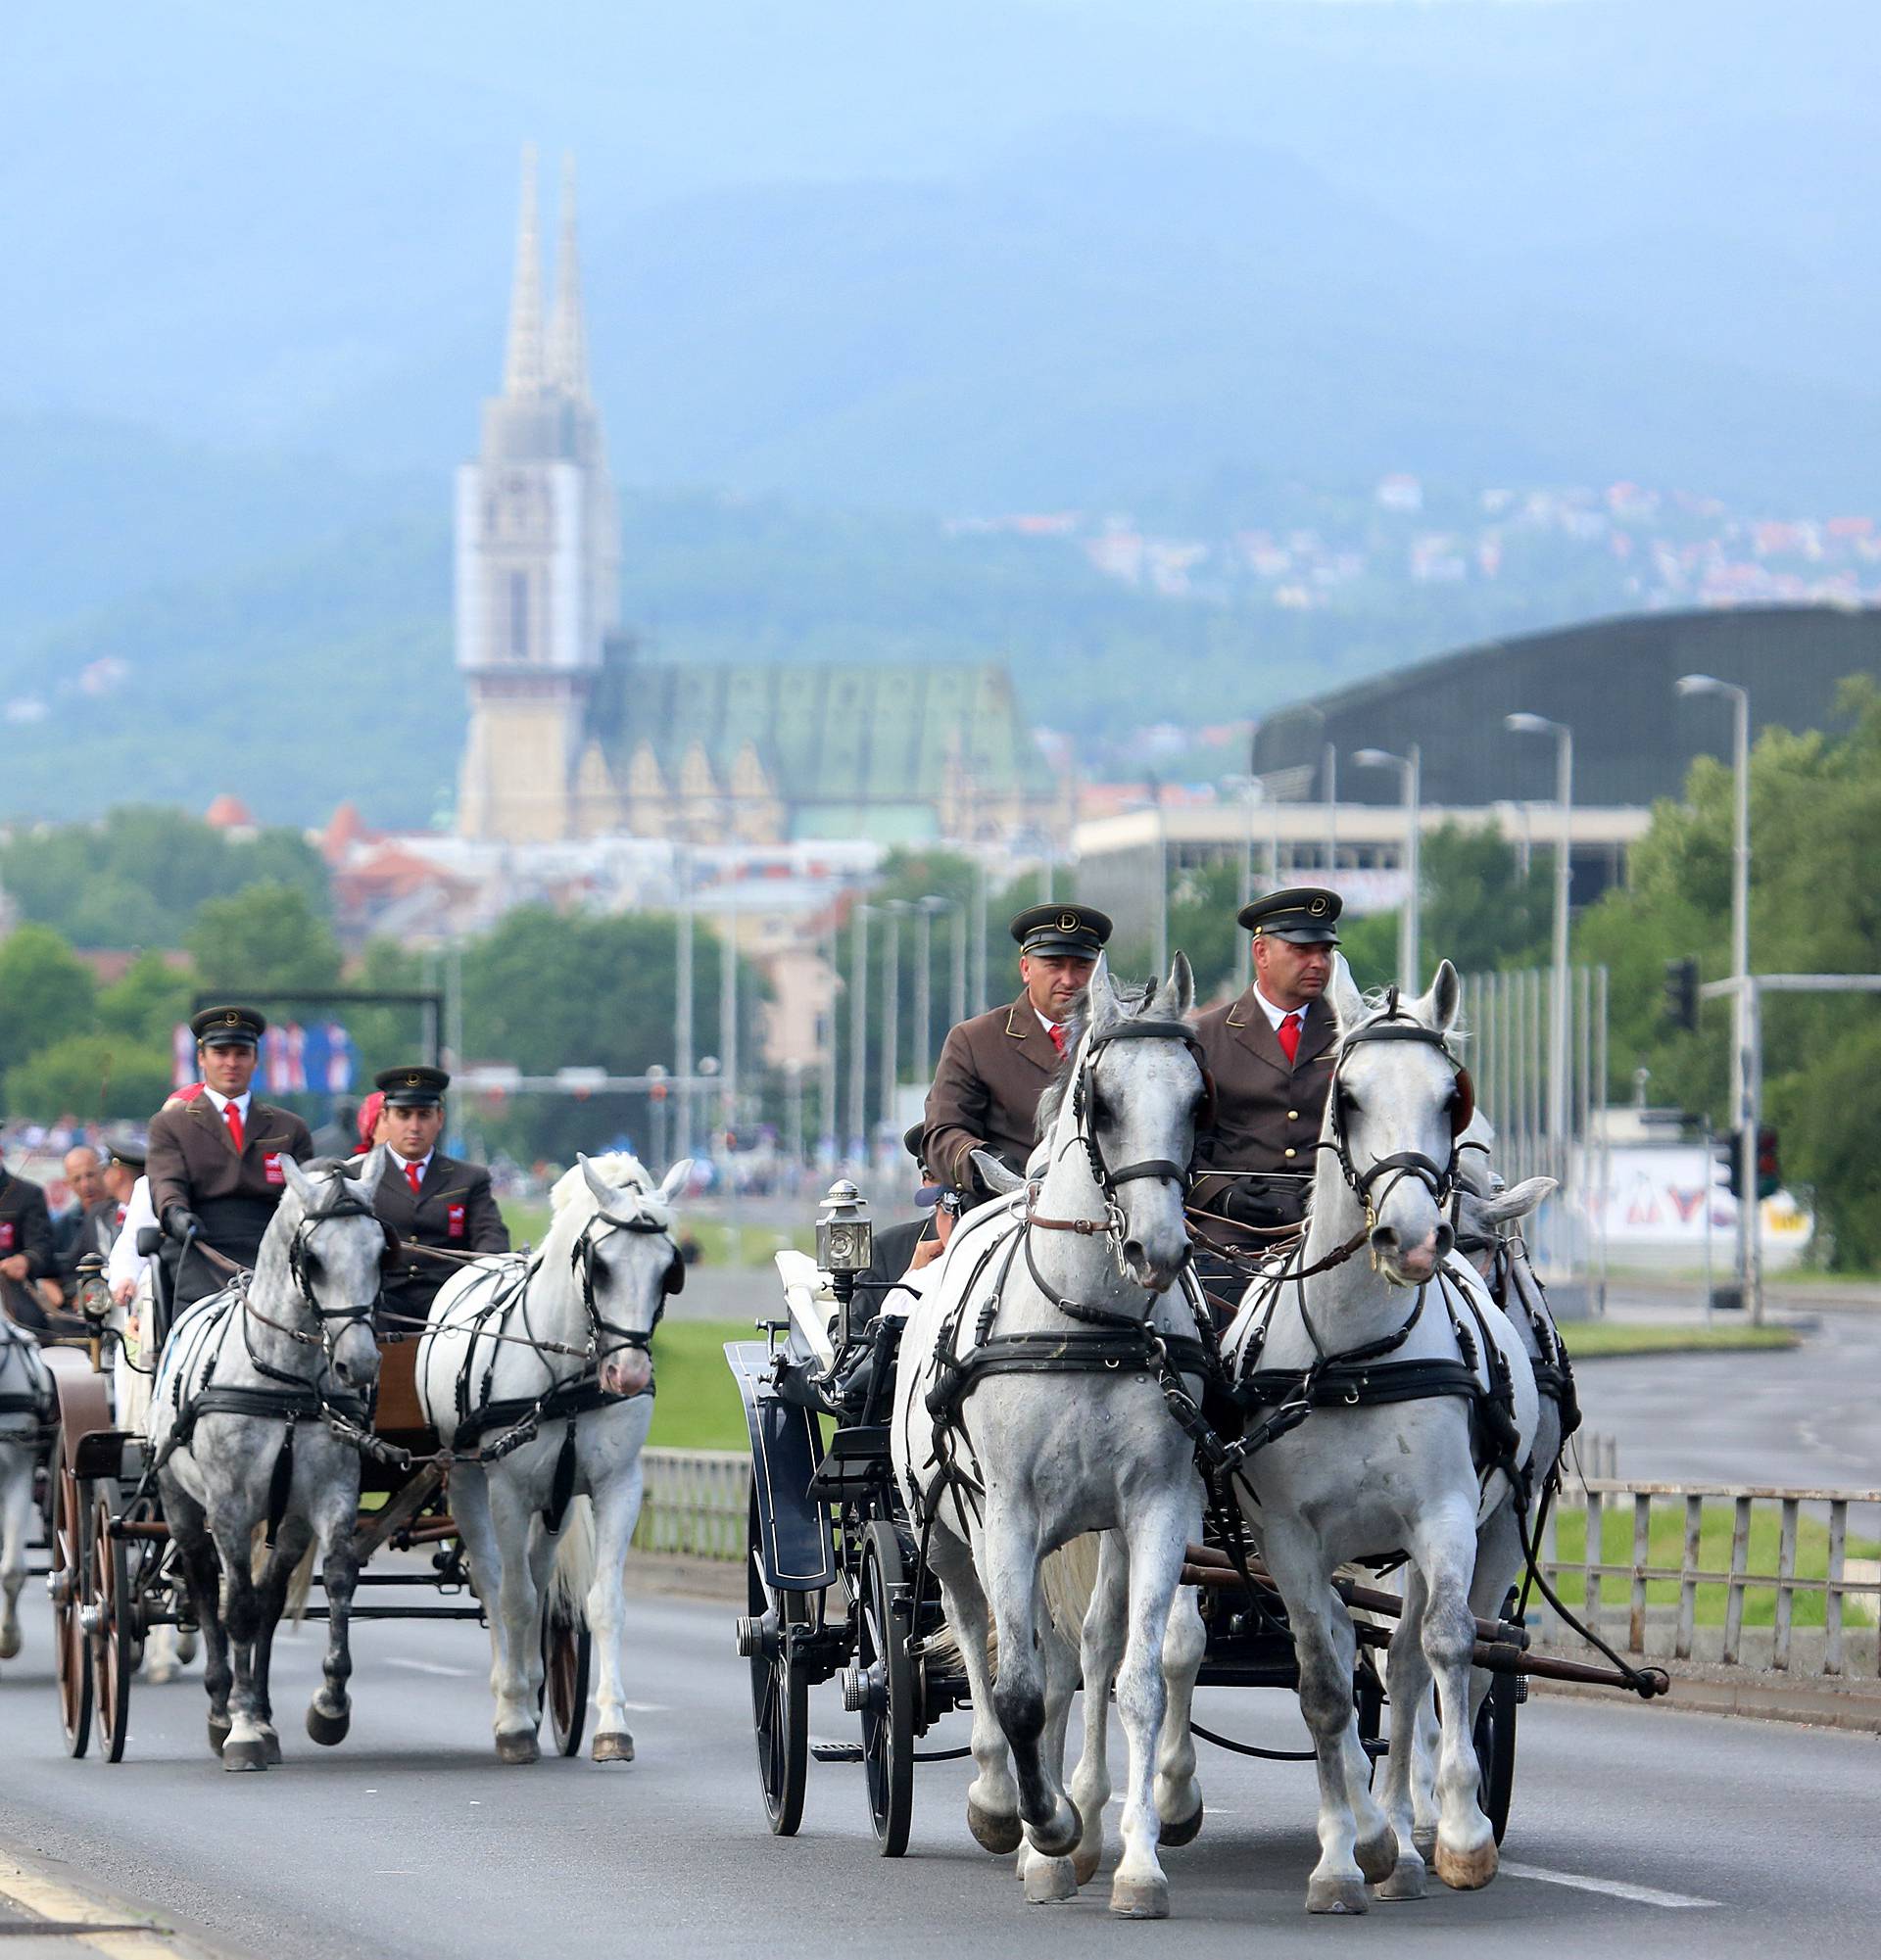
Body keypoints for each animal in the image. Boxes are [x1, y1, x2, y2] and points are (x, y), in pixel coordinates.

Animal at [419, 1152, 690, 1771]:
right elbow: (514, 1600)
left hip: (556, 1504)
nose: (629, 1375)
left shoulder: (617, 1486)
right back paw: (511, 1697)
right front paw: (515, 1720)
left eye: (669, 1269)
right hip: (468, 1482)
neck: (565, 1375)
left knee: (541, 1581)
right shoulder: (508, 1491)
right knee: (497, 1581)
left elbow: (601, 1603)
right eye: (602, 1266)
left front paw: (612, 1727)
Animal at [893, 956, 1207, 1920]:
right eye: (1100, 1101)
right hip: (951, 1530)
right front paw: (1040, 1821)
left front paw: (1136, 1863)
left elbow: (1136, 1677)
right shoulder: (1009, 1515)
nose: (1158, 1250)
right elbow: (1018, 1690)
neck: (1087, 1324)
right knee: (980, 1632)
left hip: (1091, 1533)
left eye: (1198, 1099)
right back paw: (1011, 1806)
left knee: (1087, 1652)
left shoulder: (1155, 1508)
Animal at [1223, 964, 1544, 1912]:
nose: (1413, 1239)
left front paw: (1461, 1833)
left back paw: (1411, 1827)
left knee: (1417, 1661)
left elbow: (1444, 1648)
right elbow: (1324, 1682)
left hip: (1488, 1532)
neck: (1354, 1353)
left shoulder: (1441, 1516)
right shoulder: (1288, 1537)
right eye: (1351, 1095)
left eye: (1450, 1097)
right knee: (1345, 1652)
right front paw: (1344, 1852)